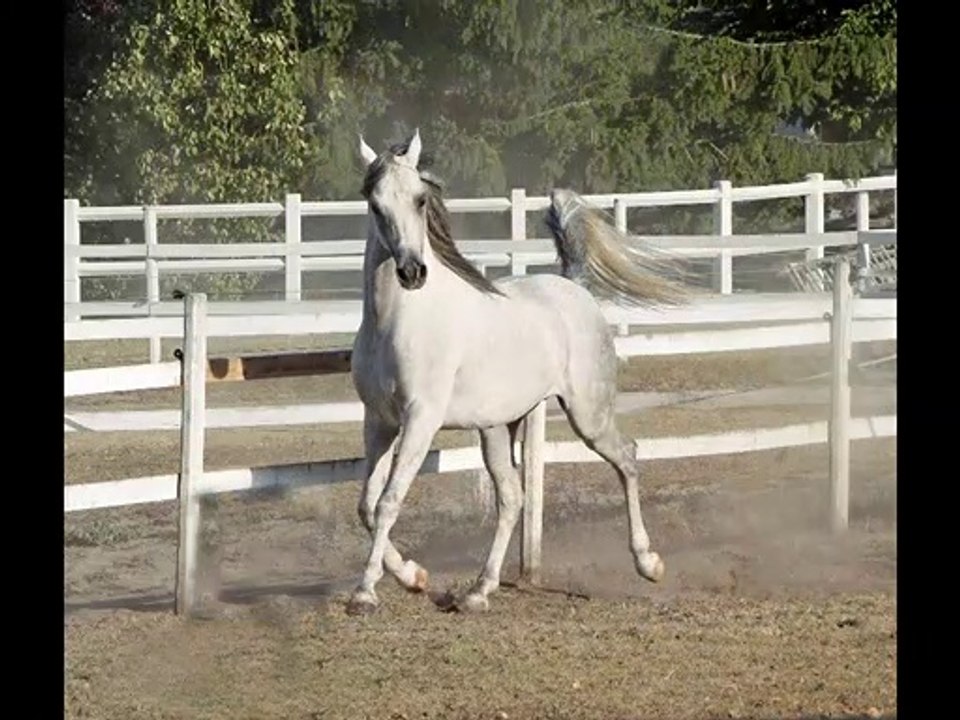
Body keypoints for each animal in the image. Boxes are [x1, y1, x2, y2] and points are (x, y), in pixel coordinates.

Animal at [347, 128, 691, 615]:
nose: (412, 271)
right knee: (512, 496)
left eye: (419, 199)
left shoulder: (420, 420)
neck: (397, 320)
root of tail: (574, 287)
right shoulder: (378, 421)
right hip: (498, 427)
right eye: (375, 204)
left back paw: (649, 563)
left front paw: (366, 592)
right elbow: (367, 505)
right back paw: (479, 590)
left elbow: (389, 502)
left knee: (628, 457)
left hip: (588, 415)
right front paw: (413, 576)